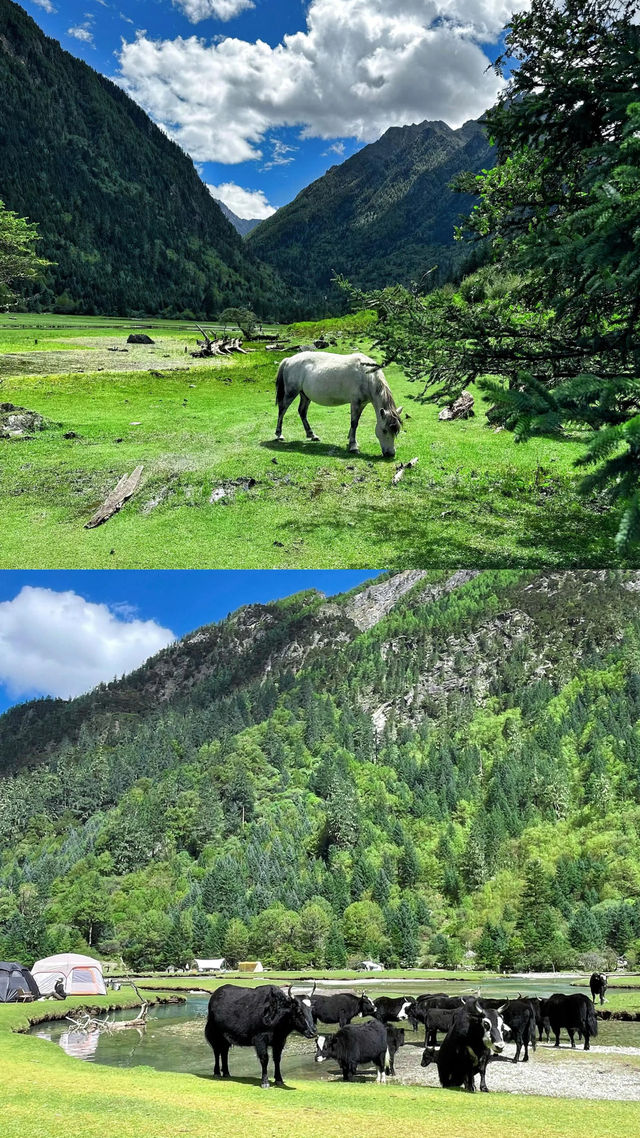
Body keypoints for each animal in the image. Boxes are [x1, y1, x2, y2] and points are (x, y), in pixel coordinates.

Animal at [271, 348, 400, 455]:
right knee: (282, 410)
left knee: (302, 411)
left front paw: (351, 441)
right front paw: (353, 446)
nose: (390, 453)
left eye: (396, 432)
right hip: (291, 393)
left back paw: (312, 435)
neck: (367, 376)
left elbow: (356, 422)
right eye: (384, 430)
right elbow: (354, 423)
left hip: (305, 395)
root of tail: (289, 360)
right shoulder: (356, 403)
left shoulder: (362, 404)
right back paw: (279, 434)